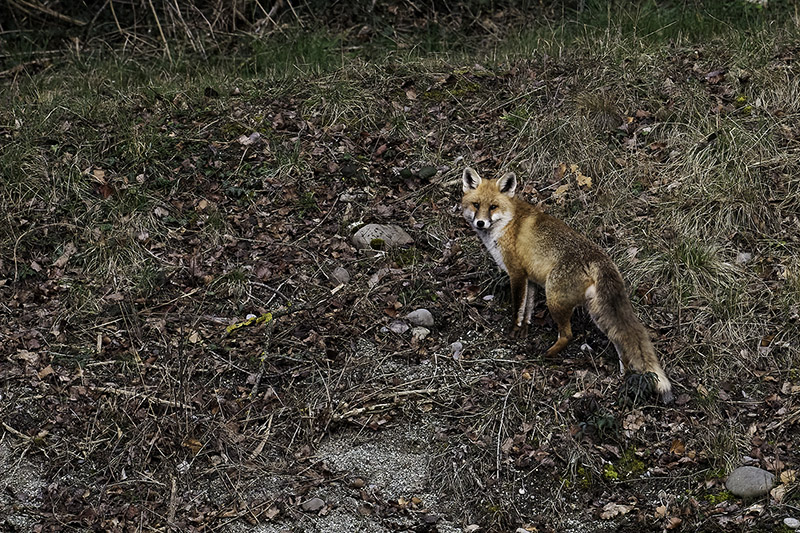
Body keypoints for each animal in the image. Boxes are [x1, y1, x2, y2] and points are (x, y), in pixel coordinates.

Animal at [461, 167, 673, 403]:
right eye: (476, 205)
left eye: (493, 207)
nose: (480, 223)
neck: (507, 223)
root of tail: (598, 258)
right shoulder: (530, 279)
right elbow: (528, 309)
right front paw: (524, 331)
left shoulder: (517, 274)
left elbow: (517, 308)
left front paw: (513, 332)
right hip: (597, 313)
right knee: (619, 339)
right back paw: (623, 374)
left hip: (555, 299)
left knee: (568, 335)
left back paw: (547, 355)